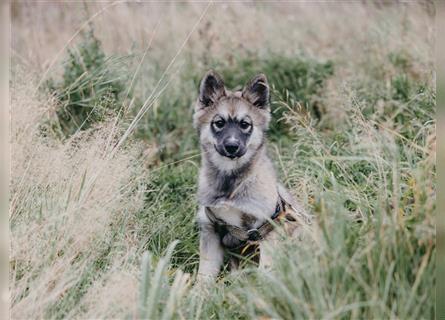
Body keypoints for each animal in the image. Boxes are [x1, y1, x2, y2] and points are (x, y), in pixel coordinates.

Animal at [194, 70, 308, 280]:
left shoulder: (266, 230)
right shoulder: (210, 231)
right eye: (219, 123)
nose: (232, 146)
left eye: (245, 124)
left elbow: (266, 270)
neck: (231, 184)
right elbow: (204, 276)